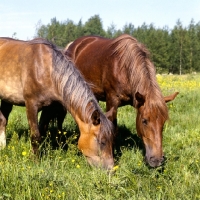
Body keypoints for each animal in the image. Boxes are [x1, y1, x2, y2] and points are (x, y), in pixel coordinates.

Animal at [0, 37, 114, 169]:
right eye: (102, 142)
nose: (111, 169)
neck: (47, 71)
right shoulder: (31, 105)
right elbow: (35, 136)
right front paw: (35, 162)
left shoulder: (49, 108)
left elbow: (42, 132)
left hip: (7, 98)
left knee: (3, 120)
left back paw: (2, 147)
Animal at [65, 34, 179, 167]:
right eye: (144, 121)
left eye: (163, 121)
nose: (157, 160)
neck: (124, 68)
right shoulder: (112, 102)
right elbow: (112, 129)